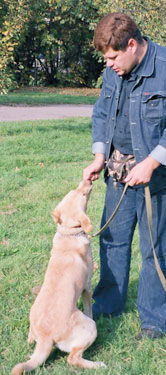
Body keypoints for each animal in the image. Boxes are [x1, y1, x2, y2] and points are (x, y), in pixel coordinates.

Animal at [11, 181, 105, 374]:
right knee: (73, 358)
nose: (88, 181)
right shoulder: (87, 286)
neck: (69, 232)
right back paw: (98, 365)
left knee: (30, 341)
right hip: (89, 328)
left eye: (75, 190)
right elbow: (89, 308)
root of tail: (45, 338)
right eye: (82, 194)